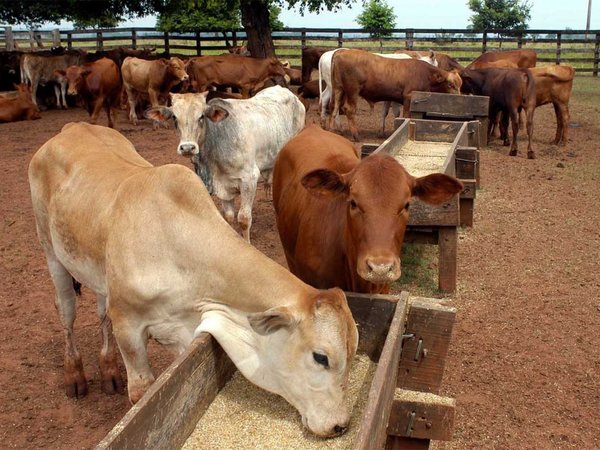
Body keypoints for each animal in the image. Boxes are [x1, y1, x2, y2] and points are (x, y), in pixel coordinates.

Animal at [28, 121, 358, 438]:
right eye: (321, 357)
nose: (340, 425)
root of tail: (71, 127)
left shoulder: (182, 331)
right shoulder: (127, 326)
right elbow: (140, 391)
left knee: (99, 311)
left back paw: (109, 370)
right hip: (51, 252)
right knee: (66, 313)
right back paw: (75, 375)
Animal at [145, 86, 304, 244]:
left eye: (201, 117)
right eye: (174, 117)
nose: (187, 147)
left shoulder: (249, 179)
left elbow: (244, 219)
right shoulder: (222, 186)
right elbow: (228, 216)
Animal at [330, 49, 462, 141]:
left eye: (460, 85)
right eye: (450, 84)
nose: (460, 97)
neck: (425, 74)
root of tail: (340, 52)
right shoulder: (408, 97)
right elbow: (406, 116)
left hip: (338, 89)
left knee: (334, 108)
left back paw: (333, 130)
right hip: (352, 91)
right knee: (348, 109)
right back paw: (356, 135)